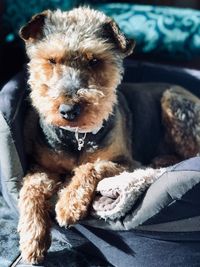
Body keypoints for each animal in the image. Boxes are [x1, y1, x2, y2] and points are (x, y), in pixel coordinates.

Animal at [17, 5, 200, 264]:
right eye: (51, 60)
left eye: (94, 60)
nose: (68, 111)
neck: (77, 137)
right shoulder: (40, 166)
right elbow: (31, 189)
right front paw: (33, 240)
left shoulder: (127, 163)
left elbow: (91, 167)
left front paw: (68, 204)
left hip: (174, 102)